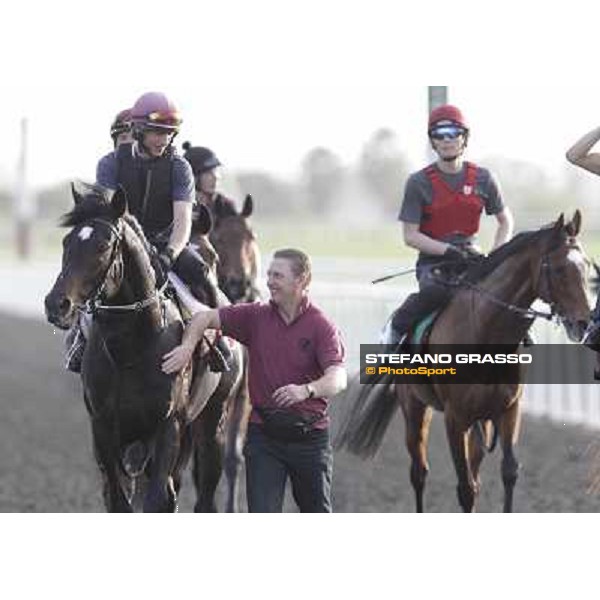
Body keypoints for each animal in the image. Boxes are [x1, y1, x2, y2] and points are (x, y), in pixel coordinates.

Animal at [45, 184, 244, 510]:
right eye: (66, 241)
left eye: (103, 245)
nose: (56, 304)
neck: (131, 349)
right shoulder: (104, 430)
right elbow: (119, 500)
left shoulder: (167, 427)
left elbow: (155, 499)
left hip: (213, 420)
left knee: (204, 495)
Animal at [338, 211, 592, 510]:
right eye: (559, 269)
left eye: (587, 266)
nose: (584, 324)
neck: (487, 333)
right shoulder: (455, 417)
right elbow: (465, 488)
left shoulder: (509, 409)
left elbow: (508, 473)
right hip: (414, 406)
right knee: (419, 472)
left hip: (480, 421)